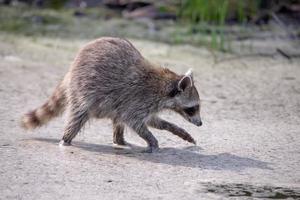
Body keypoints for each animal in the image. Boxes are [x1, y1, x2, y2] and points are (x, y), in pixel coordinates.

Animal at [21, 37, 202, 152]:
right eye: (193, 108)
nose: (200, 124)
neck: (165, 85)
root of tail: (71, 69)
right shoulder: (139, 99)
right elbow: (135, 122)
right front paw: (151, 140)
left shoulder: (146, 105)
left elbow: (152, 121)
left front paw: (174, 128)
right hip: (82, 90)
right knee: (78, 117)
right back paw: (65, 140)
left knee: (117, 118)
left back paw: (119, 140)